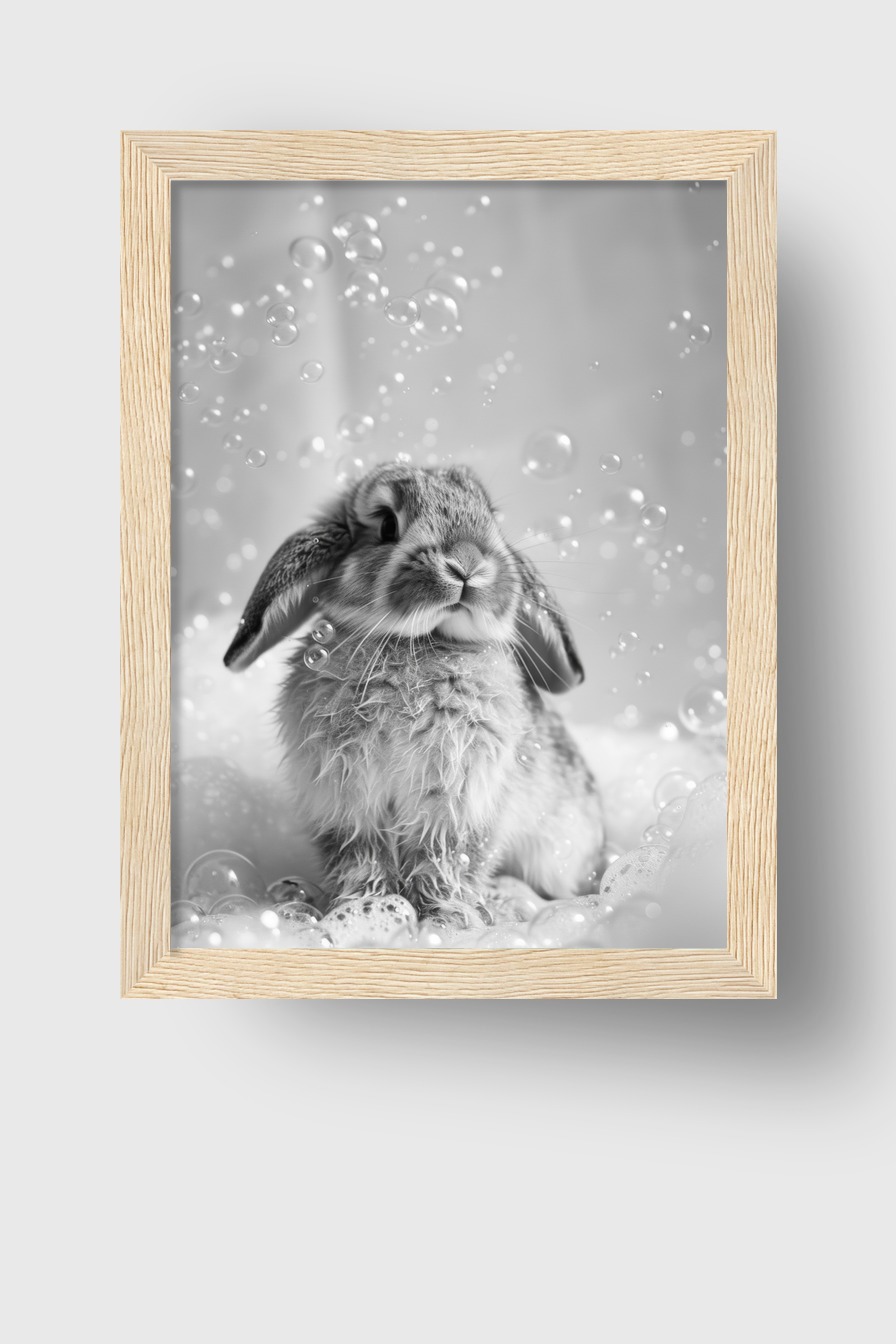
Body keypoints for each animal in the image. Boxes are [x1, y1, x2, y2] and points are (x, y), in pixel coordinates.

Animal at [224, 462, 604, 923]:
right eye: (387, 524)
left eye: (491, 519)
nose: (466, 562)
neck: (419, 643)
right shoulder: (347, 802)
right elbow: (362, 857)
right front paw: (365, 908)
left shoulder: (456, 802)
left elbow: (444, 859)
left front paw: (447, 918)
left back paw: (507, 900)